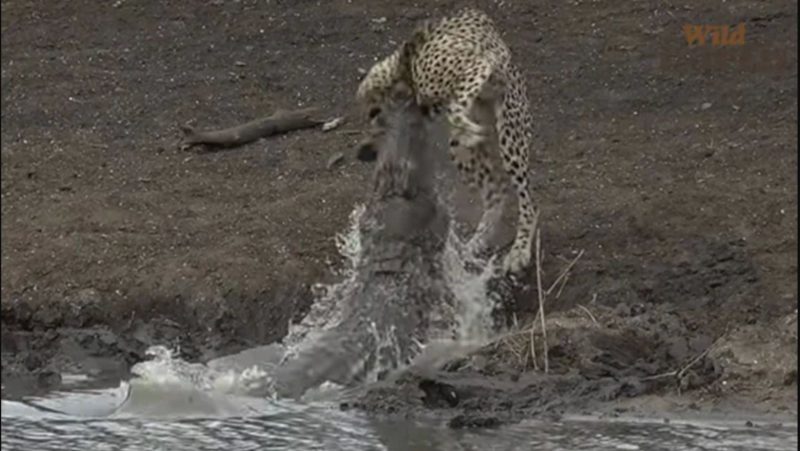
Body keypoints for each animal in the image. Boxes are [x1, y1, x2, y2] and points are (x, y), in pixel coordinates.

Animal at [355, 8, 537, 275]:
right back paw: (474, 245)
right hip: (463, 150)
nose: (364, 151)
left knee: (527, 200)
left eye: (373, 115)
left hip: (509, 131)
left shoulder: (479, 65)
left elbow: (456, 105)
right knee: (498, 190)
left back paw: (519, 250)